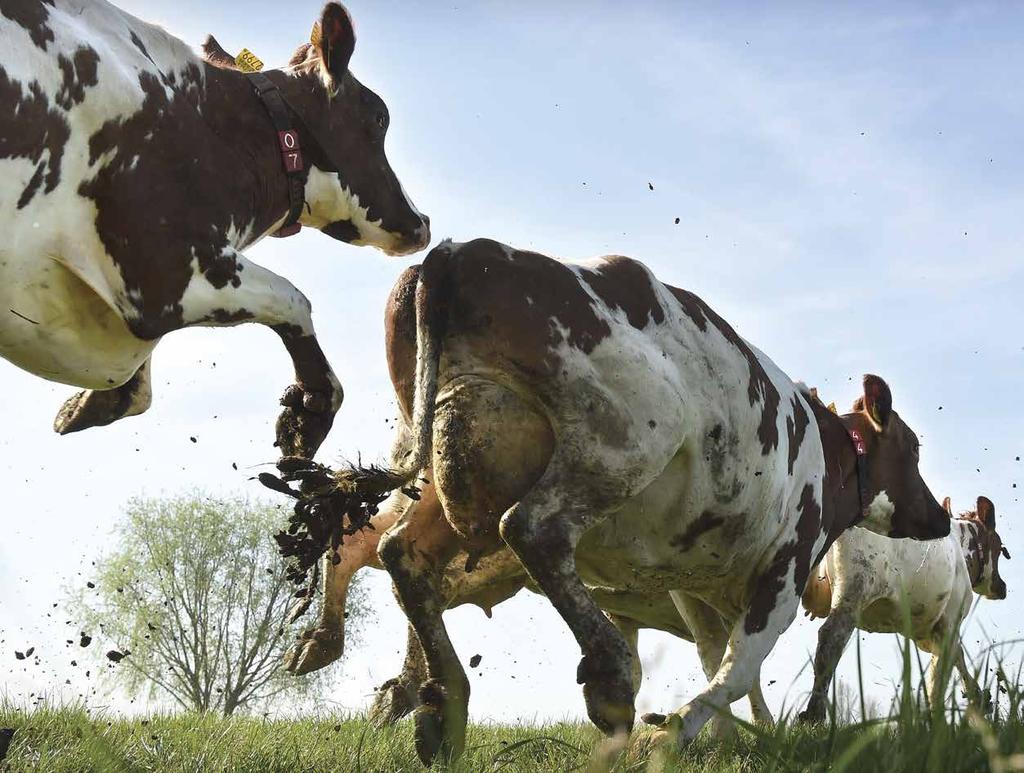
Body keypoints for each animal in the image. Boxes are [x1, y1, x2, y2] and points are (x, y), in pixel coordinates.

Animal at [0, 0, 428, 456]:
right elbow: (294, 299)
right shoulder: (169, 273)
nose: (422, 222)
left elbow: (135, 392)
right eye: (379, 117)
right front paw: (308, 414)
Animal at [299, 240, 950, 761]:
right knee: (532, 529)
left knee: (402, 555)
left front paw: (726, 741)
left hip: (454, 472)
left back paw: (444, 706)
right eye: (914, 449)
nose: (943, 517)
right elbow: (737, 669)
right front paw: (671, 736)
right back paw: (609, 681)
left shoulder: (696, 580)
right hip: (626, 442)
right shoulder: (784, 574)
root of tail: (458, 252)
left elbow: (717, 658)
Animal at [798, 495, 1007, 724]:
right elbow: (941, 674)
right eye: (999, 548)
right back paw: (814, 714)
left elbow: (947, 664)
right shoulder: (949, 621)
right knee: (831, 640)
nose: (1002, 586)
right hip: (855, 586)